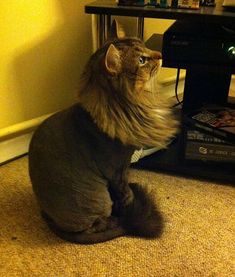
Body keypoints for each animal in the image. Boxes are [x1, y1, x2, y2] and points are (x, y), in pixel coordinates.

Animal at [28, 20, 178, 244]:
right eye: (141, 60)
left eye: (145, 46)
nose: (160, 54)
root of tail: (53, 223)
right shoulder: (117, 170)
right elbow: (126, 194)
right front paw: (129, 205)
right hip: (99, 198)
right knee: (96, 225)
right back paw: (118, 221)